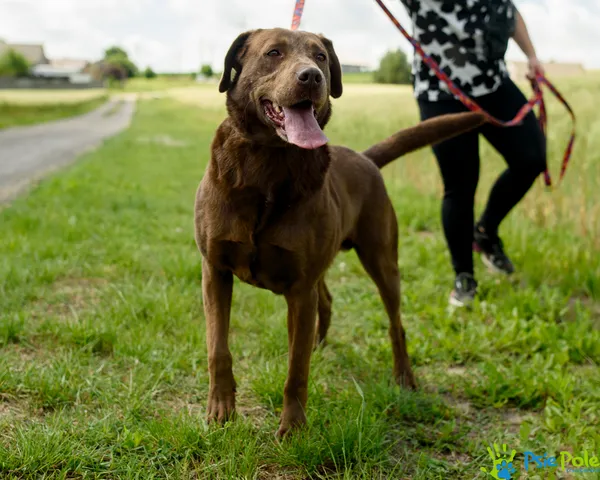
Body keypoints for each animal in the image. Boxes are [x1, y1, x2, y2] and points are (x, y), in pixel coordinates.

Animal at [195, 28, 486, 436]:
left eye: (320, 56)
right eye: (274, 52)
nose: (312, 77)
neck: (268, 163)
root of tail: (366, 157)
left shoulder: (299, 289)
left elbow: (296, 370)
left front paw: (293, 428)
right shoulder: (215, 271)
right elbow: (218, 349)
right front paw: (221, 410)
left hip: (382, 262)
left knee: (396, 325)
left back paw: (404, 378)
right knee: (327, 302)